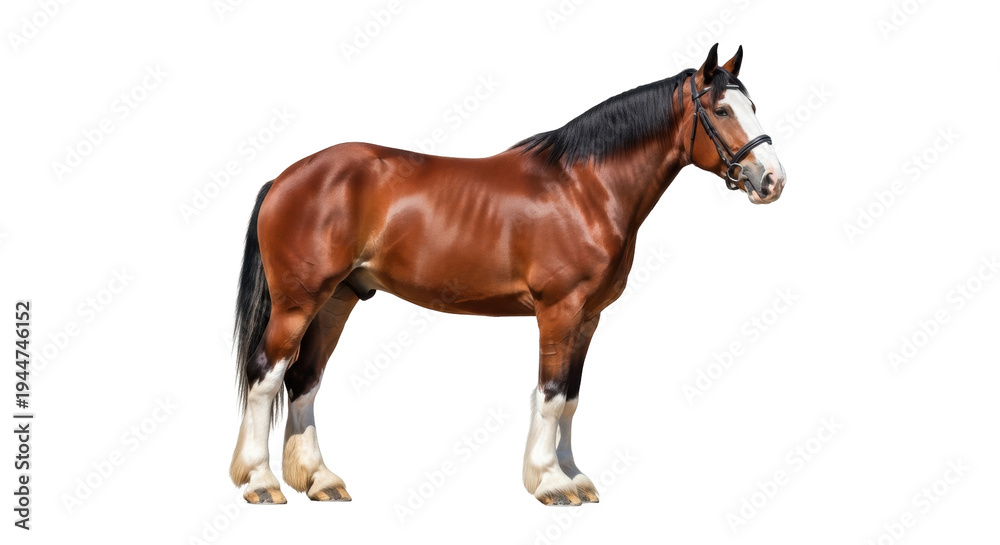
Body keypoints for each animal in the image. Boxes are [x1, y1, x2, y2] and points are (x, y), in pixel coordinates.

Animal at [229, 43, 786, 506]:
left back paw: (319, 480)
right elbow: (552, 392)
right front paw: (551, 483)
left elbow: (572, 397)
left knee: (303, 380)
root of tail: (286, 177)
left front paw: (574, 476)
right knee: (265, 376)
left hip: (336, 300)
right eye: (721, 110)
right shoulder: (559, 309)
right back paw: (260, 482)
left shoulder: (588, 318)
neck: (584, 188)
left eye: (753, 106)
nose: (772, 181)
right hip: (298, 302)